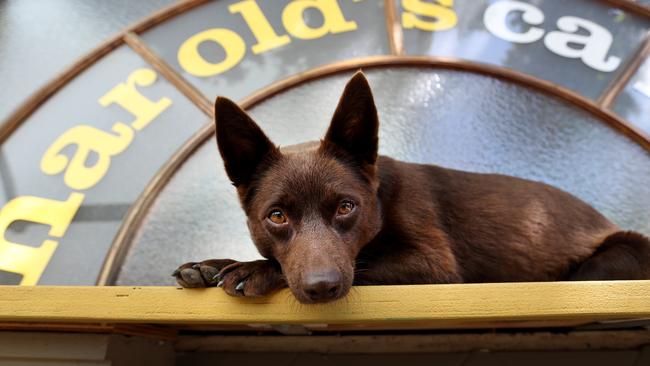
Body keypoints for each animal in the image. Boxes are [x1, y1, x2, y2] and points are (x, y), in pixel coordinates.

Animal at [171, 71, 648, 304]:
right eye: (276, 216)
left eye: (346, 207)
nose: (322, 288)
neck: (381, 200)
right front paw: (212, 264)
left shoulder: (433, 267)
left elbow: (364, 263)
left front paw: (252, 269)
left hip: (614, 256)